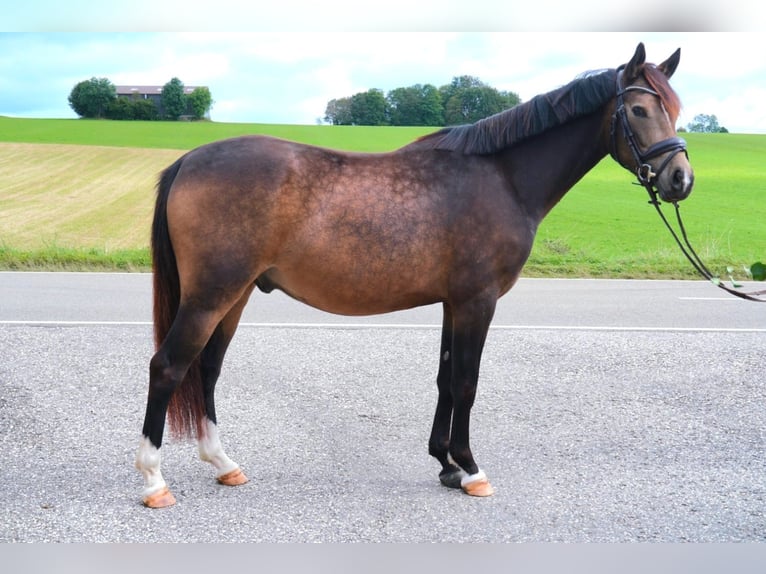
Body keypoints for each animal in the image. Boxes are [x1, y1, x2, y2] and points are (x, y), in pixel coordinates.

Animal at [136, 42, 696, 508]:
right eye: (639, 110)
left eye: (674, 109)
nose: (680, 179)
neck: (502, 178)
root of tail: (188, 161)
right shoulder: (477, 301)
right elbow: (467, 382)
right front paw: (471, 469)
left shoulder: (453, 302)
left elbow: (446, 378)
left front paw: (446, 464)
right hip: (212, 295)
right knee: (169, 367)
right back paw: (154, 481)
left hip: (235, 295)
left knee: (207, 369)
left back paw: (223, 463)